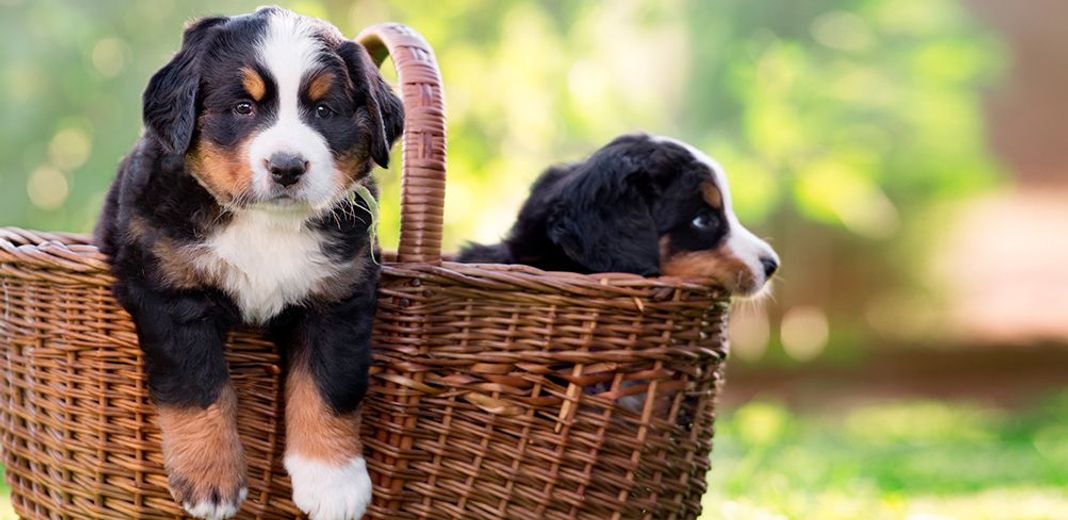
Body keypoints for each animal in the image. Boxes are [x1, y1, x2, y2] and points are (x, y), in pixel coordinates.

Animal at [91, 8, 399, 520]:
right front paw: (210, 481)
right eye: (242, 109)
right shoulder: (169, 290)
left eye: (323, 111)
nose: (287, 167)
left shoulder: (338, 296)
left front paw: (334, 480)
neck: (266, 225)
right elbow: (198, 386)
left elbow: (328, 385)